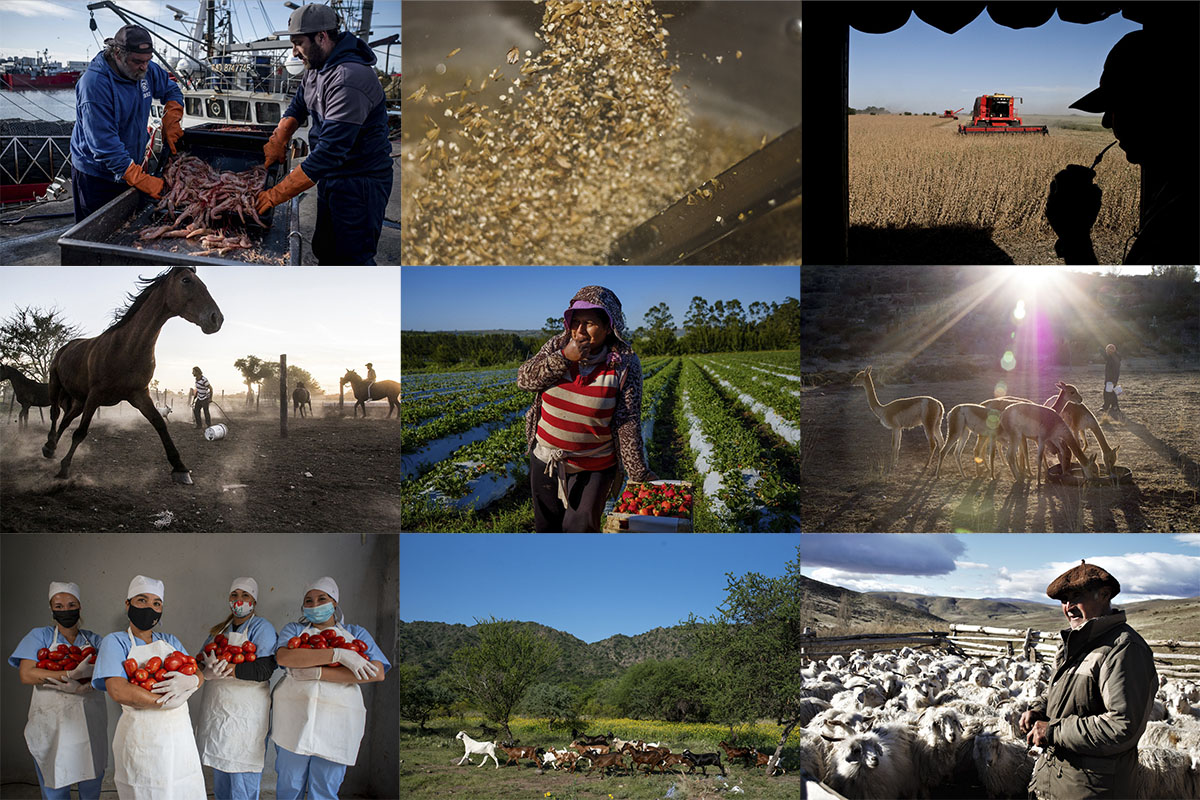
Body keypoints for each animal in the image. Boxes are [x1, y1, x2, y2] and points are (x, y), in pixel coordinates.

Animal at [40, 266, 223, 484]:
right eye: (186, 280)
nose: (216, 318)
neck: (126, 347)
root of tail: (65, 347)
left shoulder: (139, 394)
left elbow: (160, 424)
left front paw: (180, 468)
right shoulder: (95, 395)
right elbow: (80, 432)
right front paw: (65, 468)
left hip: (79, 401)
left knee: (66, 419)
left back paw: (51, 448)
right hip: (57, 385)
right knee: (55, 414)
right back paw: (49, 447)